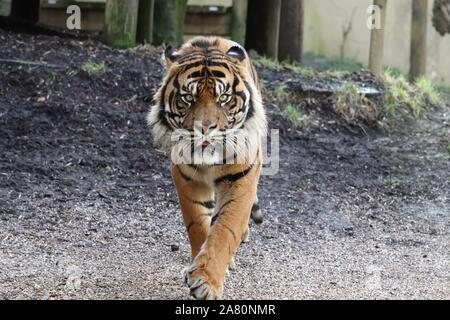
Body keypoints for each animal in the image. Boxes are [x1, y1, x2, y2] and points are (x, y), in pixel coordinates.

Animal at [148, 36, 268, 298]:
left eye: (223, 98)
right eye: (187, 99)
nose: (205, 128)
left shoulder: (242, 177)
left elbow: (225, 229)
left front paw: (206, 281)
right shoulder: (186, 178)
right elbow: (197, 225)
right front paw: (196, 270)